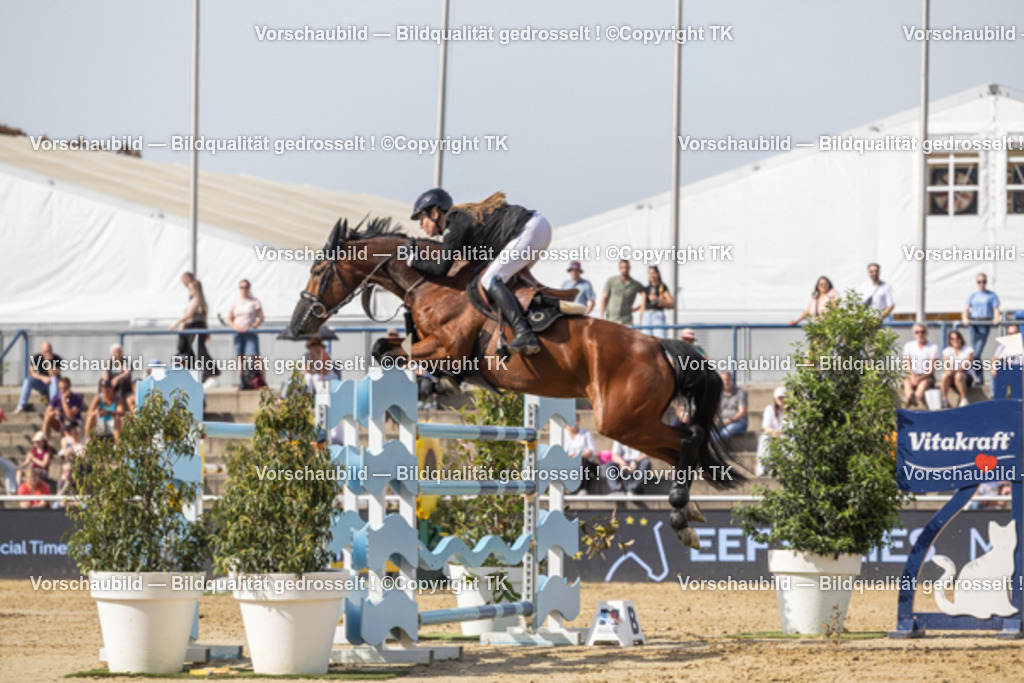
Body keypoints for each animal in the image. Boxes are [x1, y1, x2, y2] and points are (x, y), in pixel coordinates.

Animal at [289, 217, 743, 546]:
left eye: (317, 270)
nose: (297, 325)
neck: (435, 284)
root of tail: (660, 347)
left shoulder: (447, 349)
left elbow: (390, 353)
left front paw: (442, 384)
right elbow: (386, 346)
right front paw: (440, 385)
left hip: (619, 420)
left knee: (688, 437)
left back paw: (680, 513)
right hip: (631, 422)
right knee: (683, 446)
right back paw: (687, 514)